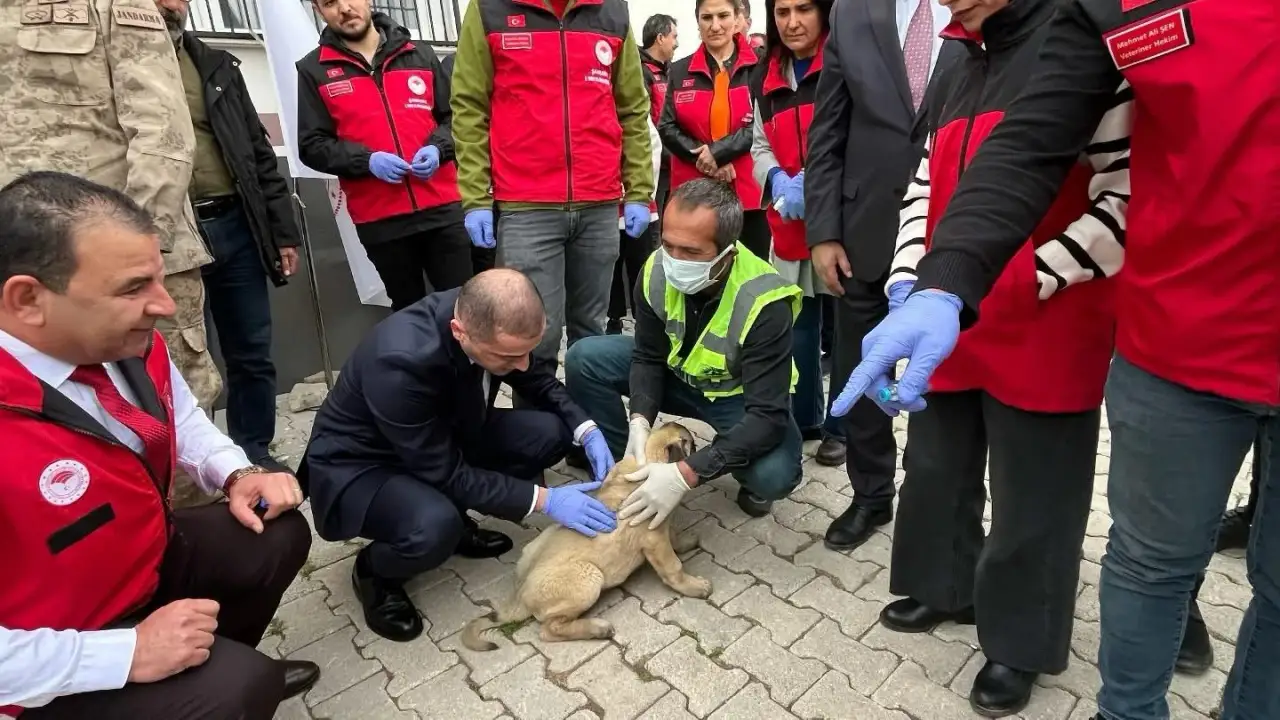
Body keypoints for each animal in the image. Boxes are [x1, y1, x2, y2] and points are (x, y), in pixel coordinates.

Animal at [460, 417, 711, 648]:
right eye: (691, 443)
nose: (699, 449)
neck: (646, 461)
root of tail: (520, 594)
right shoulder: (654, 538)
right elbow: (673, 567)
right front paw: (694, 586)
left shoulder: (661, 522)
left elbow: (673, 536)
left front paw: (686, 542)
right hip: (589, 579)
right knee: (549, 630)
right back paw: (597, 628)